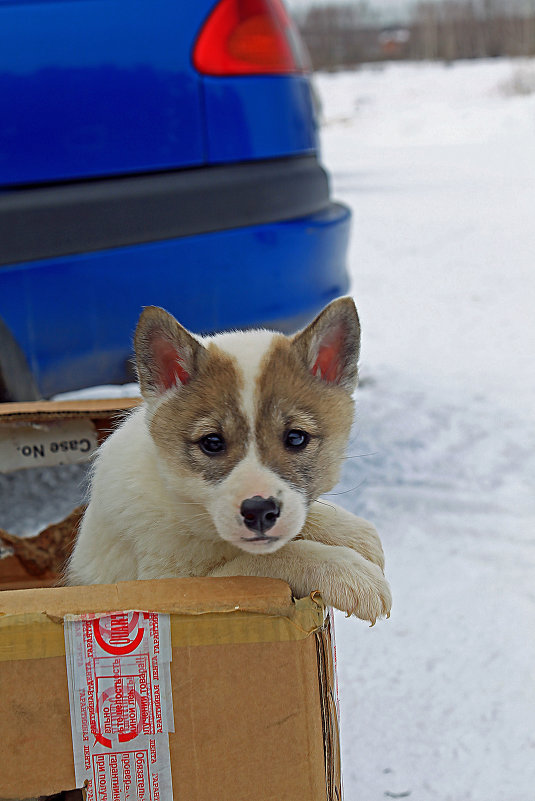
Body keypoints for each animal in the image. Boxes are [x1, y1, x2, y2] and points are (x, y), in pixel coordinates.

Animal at [69, 296, 392, 620]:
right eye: (212, 442)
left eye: (296, 438)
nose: (259, 511)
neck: (181, 508)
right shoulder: (169, 586)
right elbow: (270, 559)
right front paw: (349, 571)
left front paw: (356, 533)